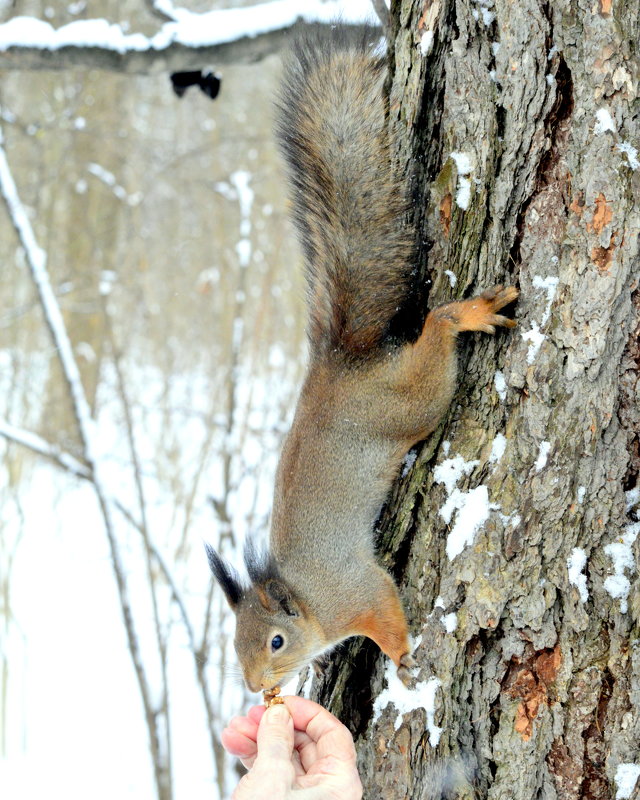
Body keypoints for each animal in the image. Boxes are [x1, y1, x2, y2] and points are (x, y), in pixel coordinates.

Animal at [208, 28, 516, 692]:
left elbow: (383, 608)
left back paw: (466, 315)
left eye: (275, 641)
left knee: (437, 334)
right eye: (235, 647)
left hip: (409, 404)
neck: (310, 602)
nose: (257, 688)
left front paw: (401, 657)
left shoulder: (356, 590)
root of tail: (340, 367)